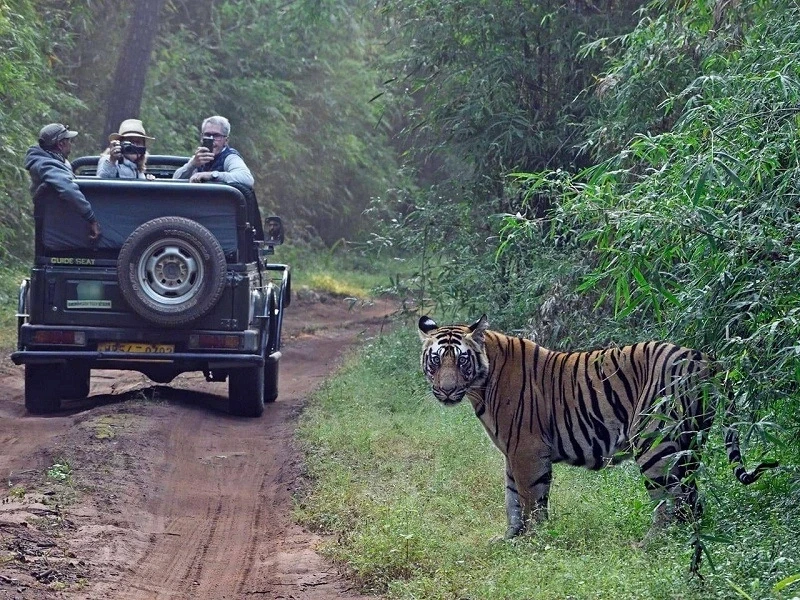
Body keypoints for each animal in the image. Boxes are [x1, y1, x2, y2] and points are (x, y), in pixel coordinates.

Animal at [418, 314, 778, 542]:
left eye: (461, 360)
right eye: (436, 360)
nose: (446, 391)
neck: (481, 384)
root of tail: (705, 358)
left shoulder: (526, 451)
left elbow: (531, 500)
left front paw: (533, 542)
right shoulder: (512, 452)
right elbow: (512, 501)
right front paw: (509, 539)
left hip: (655, 441)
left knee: (671, 502)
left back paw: (649, 546)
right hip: (690, 443)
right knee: (692, 500)